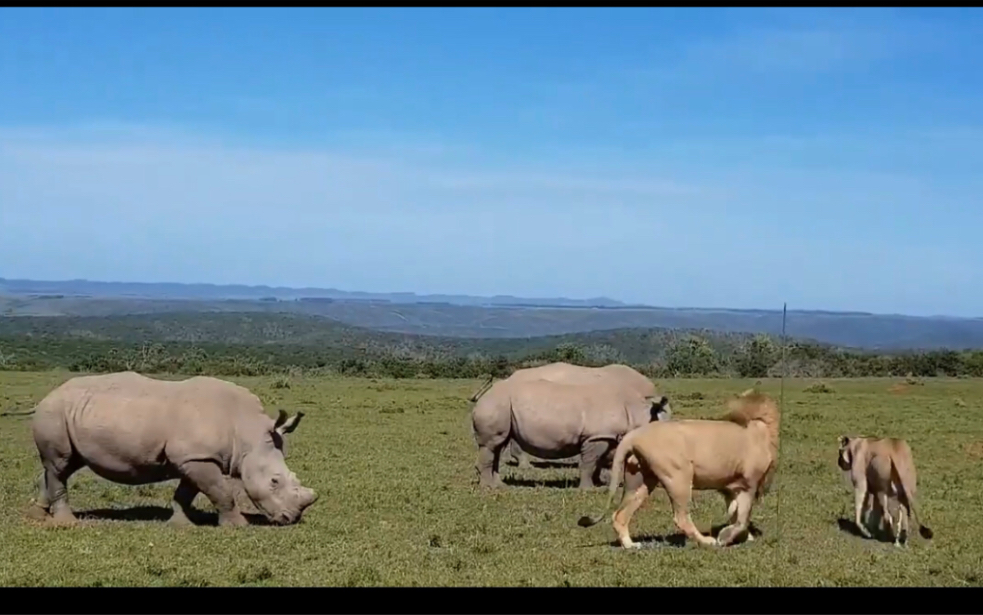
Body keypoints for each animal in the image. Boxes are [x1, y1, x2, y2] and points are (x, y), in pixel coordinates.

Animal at [28, 372, 320, 528]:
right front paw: (239, 526)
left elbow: (186, 493)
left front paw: (180, 524)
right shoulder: (197, 457)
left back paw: (39, 515)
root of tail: (47, 396)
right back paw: (67, 523)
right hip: (54, 412)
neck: (246, 431)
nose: (291, 518)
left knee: (62, 465)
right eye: (274, 481)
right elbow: (221, 491)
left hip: (74, 415)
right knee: (60, 465)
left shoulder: (194, 457)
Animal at [468, 372, 668, 488]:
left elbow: (599, 461)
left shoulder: (607, 436)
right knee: (491, 445)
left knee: (497, 446)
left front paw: (598, 483)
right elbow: (589, 463)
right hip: (496, 404)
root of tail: (485, 394)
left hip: (503, 407)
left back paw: (499, 486)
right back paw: (488, 489)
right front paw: (588, 490)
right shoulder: (596, 436)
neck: (638, 411)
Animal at [580, 388, 780, 552]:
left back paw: (630, 545)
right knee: (681, 517)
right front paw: (725, 538)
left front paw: (744, 537)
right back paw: (706, 541)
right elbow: (741, 519)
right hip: (679, 477)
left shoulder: (730, 489)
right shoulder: (748, 484)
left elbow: (734, 514)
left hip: (640, 482)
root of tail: (634, 435)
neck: (759, 429)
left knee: (619, 515)